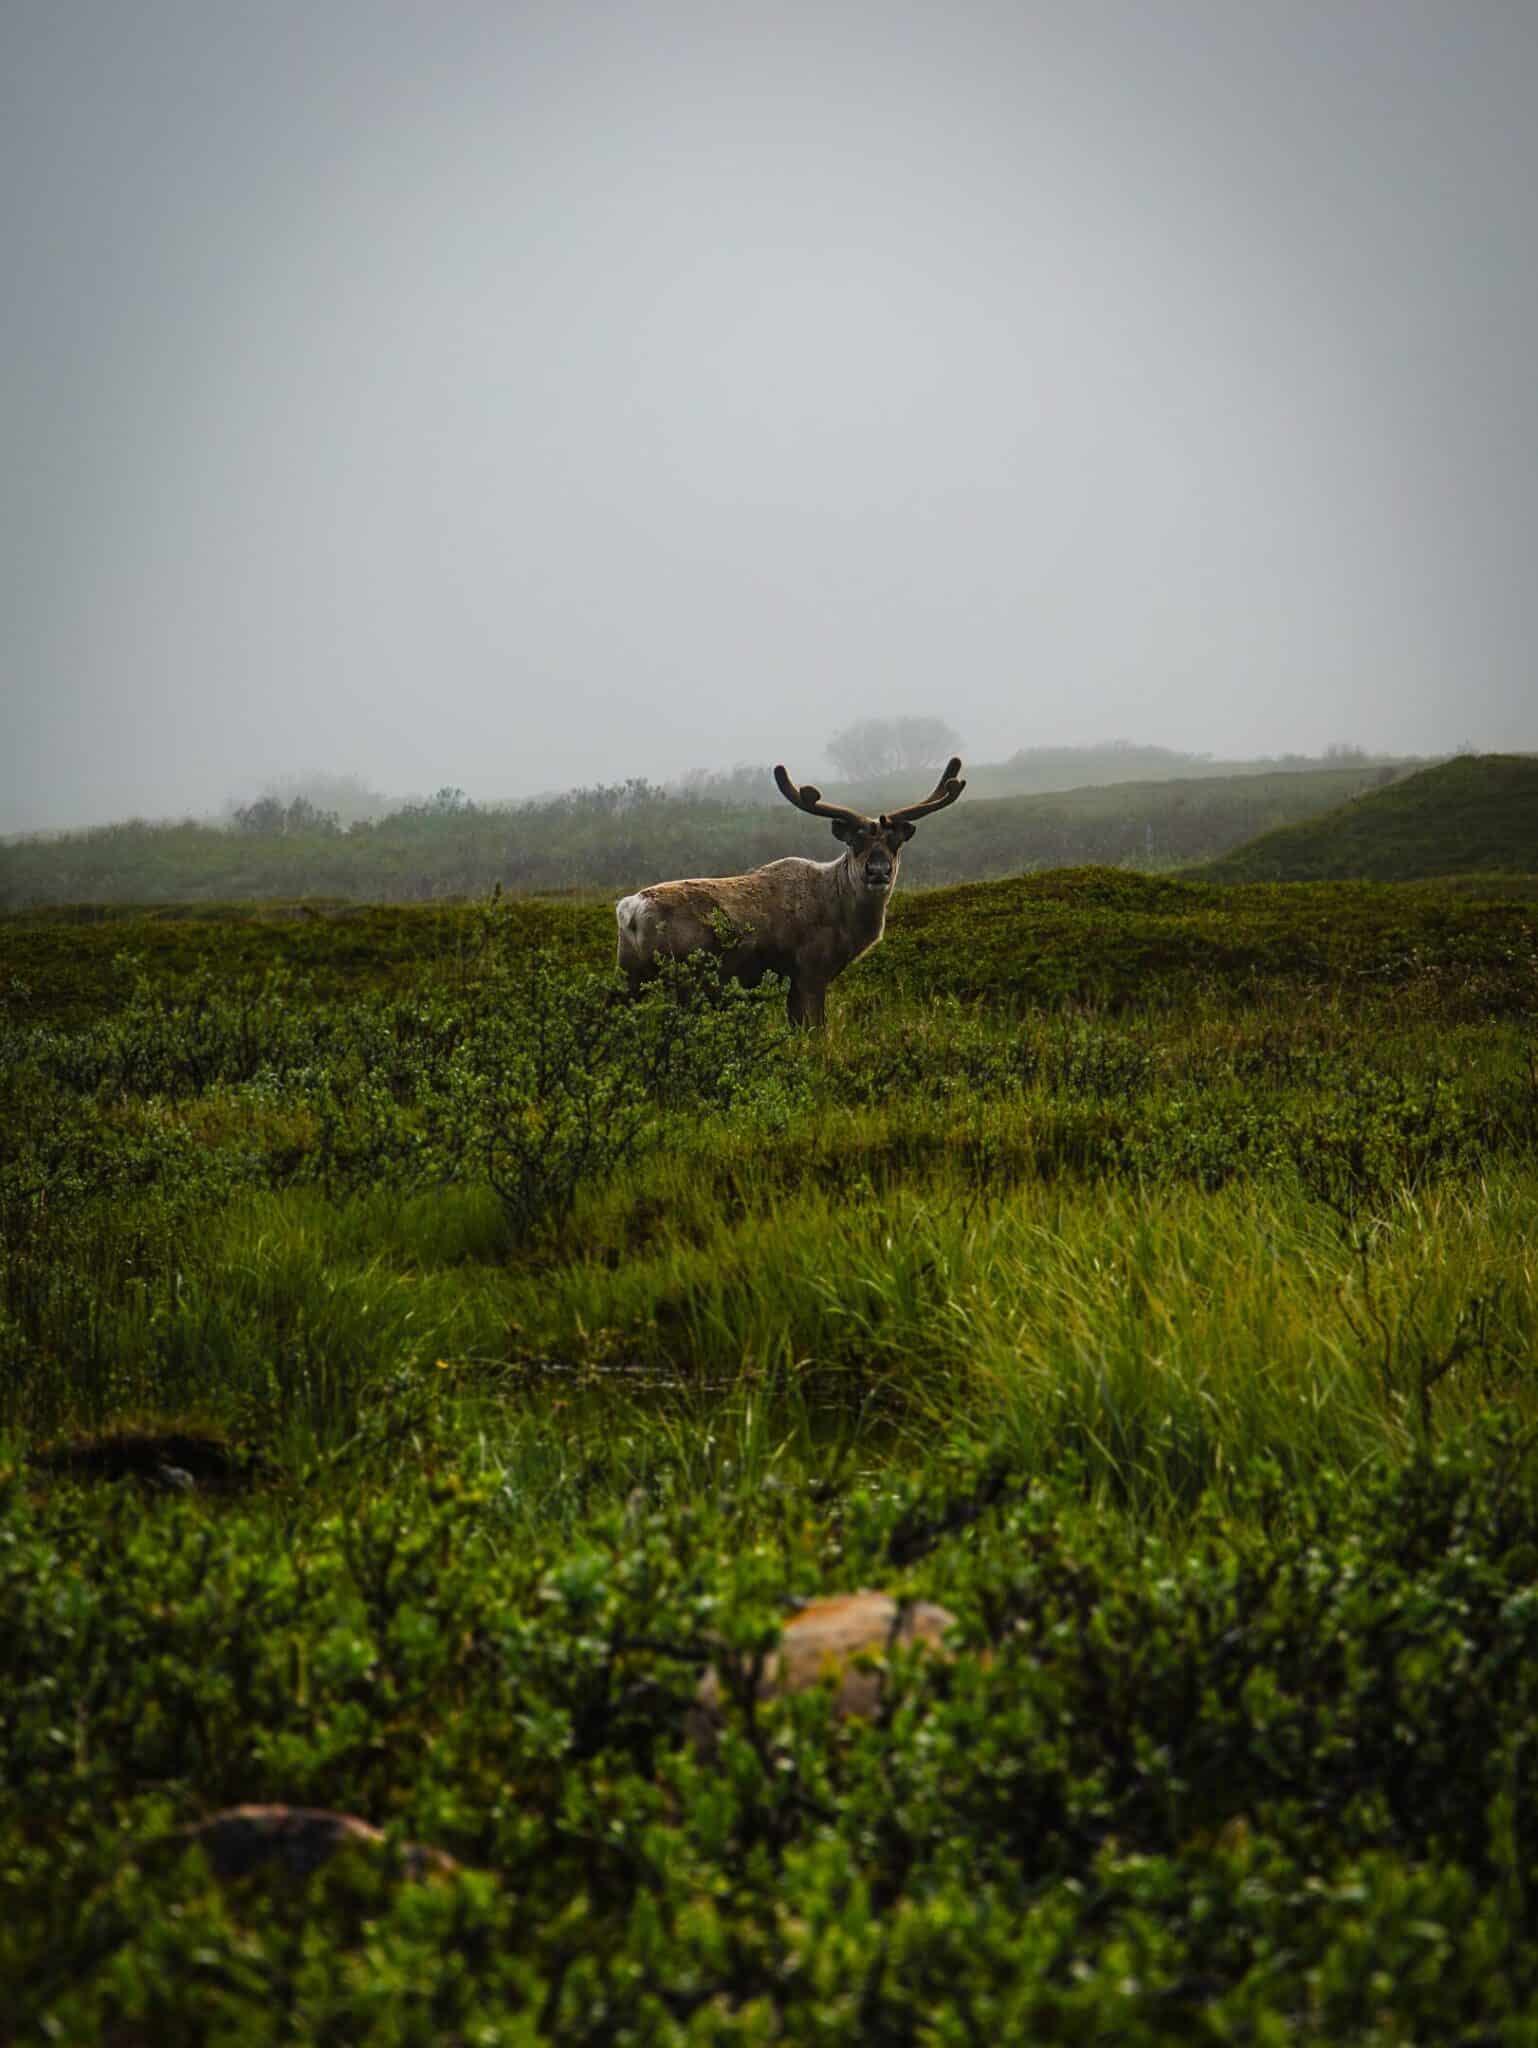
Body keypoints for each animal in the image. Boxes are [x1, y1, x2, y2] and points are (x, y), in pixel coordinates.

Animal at [615, 757, 966, 1026]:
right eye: (854, 842)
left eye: (896, 843)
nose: (878, 871)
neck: (844, 918)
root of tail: (629, 910)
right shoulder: (809, 971)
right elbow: (814, 1030)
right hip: (682, 977)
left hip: (631, 976)